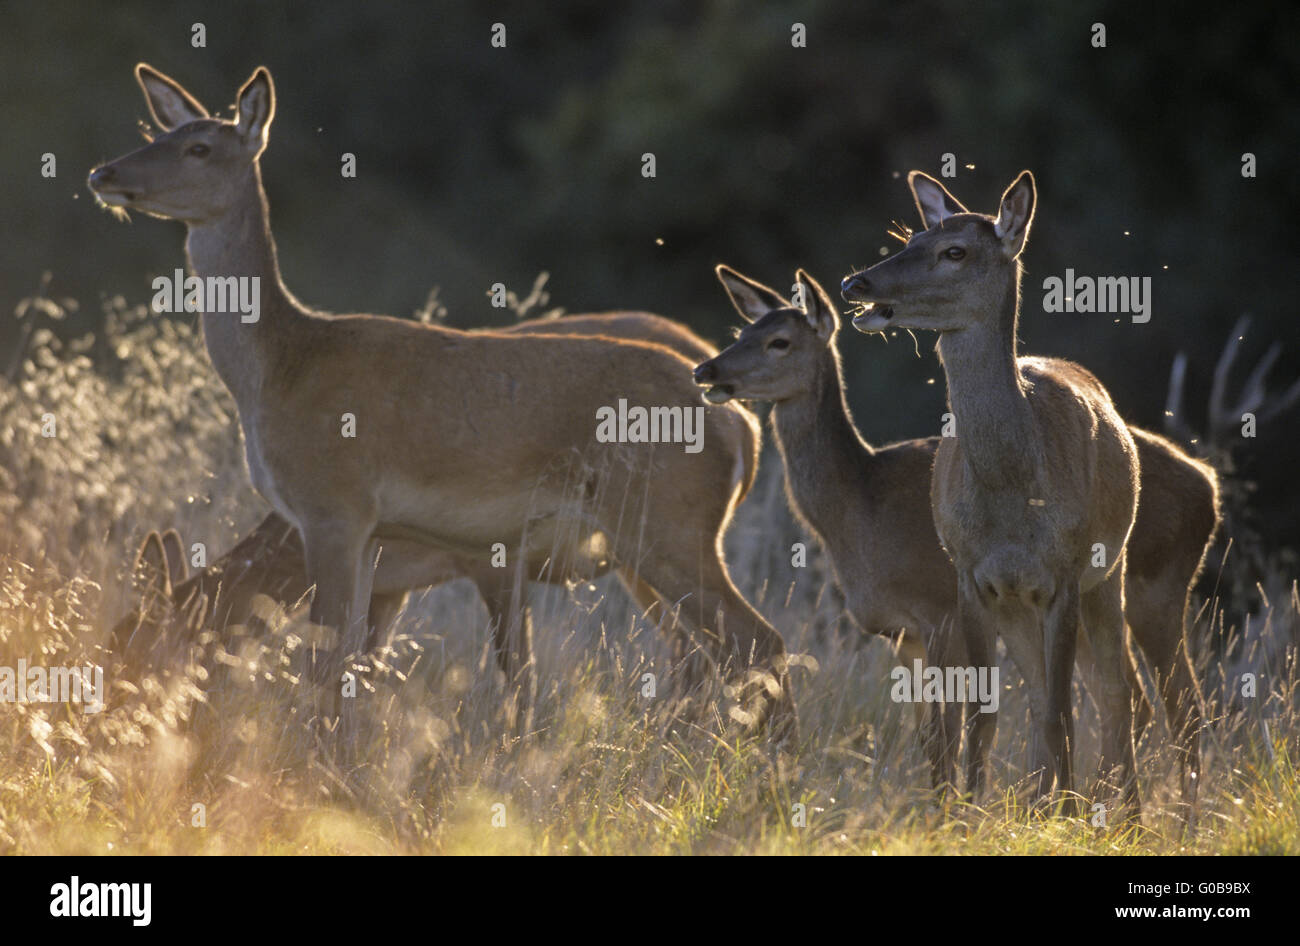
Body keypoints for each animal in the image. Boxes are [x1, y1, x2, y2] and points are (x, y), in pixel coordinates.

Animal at [89, 64, 790, 748]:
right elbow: (353, 668)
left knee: (756, 642)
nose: (104, 174)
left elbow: (327, 665)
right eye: (157, 133)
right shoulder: (378, 546)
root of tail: (741, 427)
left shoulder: (336, 508)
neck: (282, 369)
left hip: (665, 523)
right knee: (716, 650)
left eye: (199, 148)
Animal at [702, 263, 1216, 805]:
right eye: (743, 332)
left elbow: (946, 731)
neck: (860, 511)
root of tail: (1209, 486)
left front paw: (947, 808)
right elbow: (929, 735)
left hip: (1156, 591)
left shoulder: (940, 612)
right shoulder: (902, 633)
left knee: (1181, 705)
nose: (707, 371)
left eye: (779, 341)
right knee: (1128, 699)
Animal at [837, 170, 1144, 810]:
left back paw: (1121, 810)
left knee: (1114, 690)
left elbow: (1061, 711)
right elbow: (982, 715)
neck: (1013, 498)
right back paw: (1042, 798)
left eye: (955, 251)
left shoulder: (1065, 575)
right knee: (1049, 695)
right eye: (912, 236)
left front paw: (1065, 815)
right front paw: (968, 811)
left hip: (1113, 567)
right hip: (1017, 602)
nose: (856, 282)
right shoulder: (970, 575)